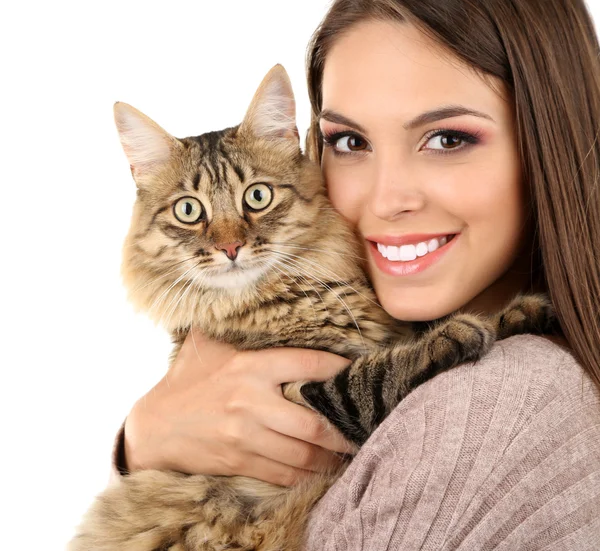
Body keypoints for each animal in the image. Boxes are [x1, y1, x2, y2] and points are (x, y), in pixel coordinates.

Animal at [69, 66, 552, 551]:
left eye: (257, 197)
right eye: (189, 210)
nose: (230, 248)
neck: (289, 296)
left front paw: (525, 311)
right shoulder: (298, 393)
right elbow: (371, 377)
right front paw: (456, 334)